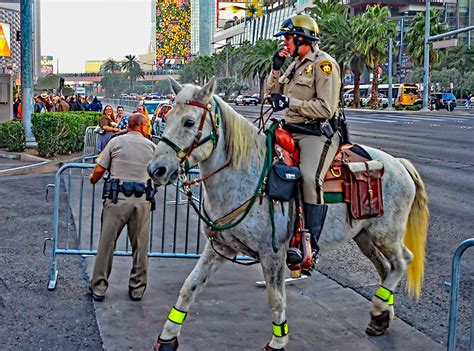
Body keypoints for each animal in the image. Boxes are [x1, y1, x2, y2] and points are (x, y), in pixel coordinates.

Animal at [147, 77, 430, 351]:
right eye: (167, 117)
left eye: (189, 121)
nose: (155, 170)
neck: (246, 175)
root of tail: (397, 163)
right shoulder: (220, 248)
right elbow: (190, 286)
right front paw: (167, 338)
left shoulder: (272, 254)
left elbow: (276, 299)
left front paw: (278, 341)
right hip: (364, 236)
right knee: (386, 267)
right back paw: (381, 316)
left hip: (386, 234)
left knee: (402, 261)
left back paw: (381, 309)